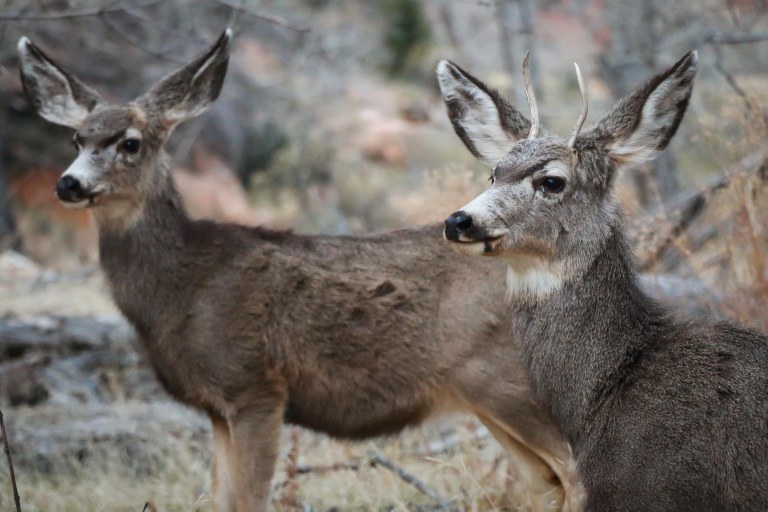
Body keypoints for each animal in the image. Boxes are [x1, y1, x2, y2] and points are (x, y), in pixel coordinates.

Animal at [17, 31, 591, 511]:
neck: (185, 285)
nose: (69, 183)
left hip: (508, 381)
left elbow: (249, 500)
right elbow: (222, 498)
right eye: (77, 140)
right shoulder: (217, 408)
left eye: (130, 142)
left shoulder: (254, 385)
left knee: (576, 473)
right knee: (545, 482)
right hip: (486, 396)